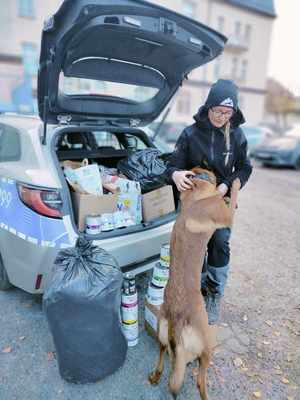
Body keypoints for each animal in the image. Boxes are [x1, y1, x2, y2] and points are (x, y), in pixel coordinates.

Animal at [149, 166, 240, 400]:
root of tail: (176, 319)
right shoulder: (227, 216)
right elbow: (231, 197)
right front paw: (232, 186)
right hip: (208, 345)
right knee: (200, 380)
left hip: (162, 333)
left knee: (163, 353)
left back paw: (155, 375)